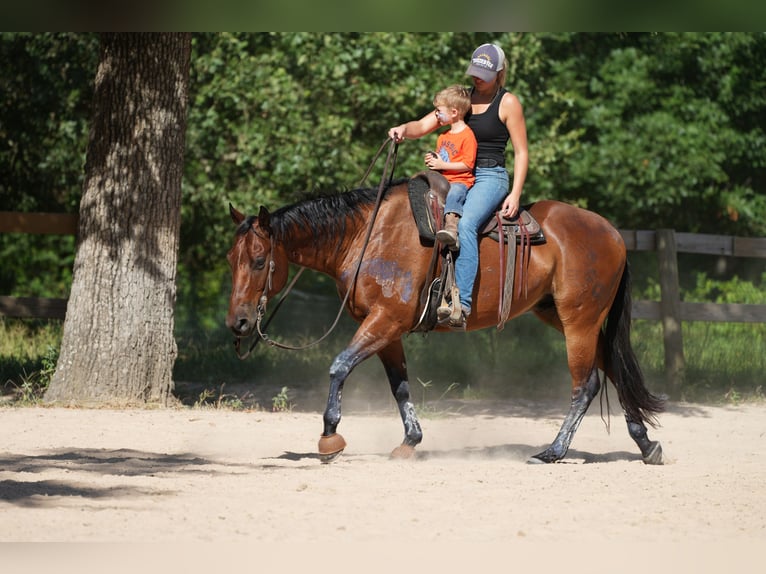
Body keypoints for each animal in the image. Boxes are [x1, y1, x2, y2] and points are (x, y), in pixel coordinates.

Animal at [226, 178, 664, 466]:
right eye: (232, 259)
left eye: (260, 261)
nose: (239, 322)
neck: (368, 236)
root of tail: (614, 234)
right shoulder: (386, 329)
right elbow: (399, 386)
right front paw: (410, 441)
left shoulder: (385, 321)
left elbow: (339, 367)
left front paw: (330, 437)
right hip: (561, 316)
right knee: (614, 371)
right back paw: (646, 445)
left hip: (579, 322)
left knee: (585, 385)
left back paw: (554, 451)